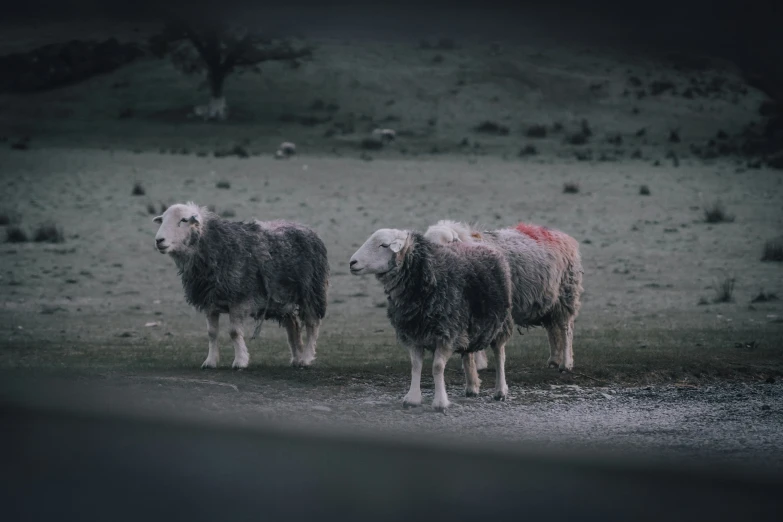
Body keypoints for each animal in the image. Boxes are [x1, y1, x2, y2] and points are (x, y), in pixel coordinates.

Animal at [153, 201, 328, 368]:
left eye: (183, 220)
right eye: (163, 219)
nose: (159, 240)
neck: (216, 245)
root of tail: (306, 228)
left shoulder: (239, 299)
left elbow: (234, 332)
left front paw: (240, 361)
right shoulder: (210, 300)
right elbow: (211, 333)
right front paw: (210, 361)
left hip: (311, 291)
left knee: (312, 324)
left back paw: (306, 358)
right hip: (283, 299)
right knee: (292, 326)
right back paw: (296, 358)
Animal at [350, 228, 516, 410]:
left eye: (384, 245)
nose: (352, 262)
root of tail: (475, 243)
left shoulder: (446, 333)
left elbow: (437, 367)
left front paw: (440, 402)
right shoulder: (413, 333)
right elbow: (415, 366)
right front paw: (412, 398)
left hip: (501, 323)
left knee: (499, 354)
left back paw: (500, 391)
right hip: (468, 325)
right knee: (468, 353)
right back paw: (472, 386)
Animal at [426, 218, 584, 370]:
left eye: (449, 241)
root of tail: (562, 235)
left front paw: (478, 364)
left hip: (566, 293)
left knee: (566, 329)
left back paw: (566, 363)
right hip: (549, 302)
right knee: (552, 329)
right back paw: (554, 361)